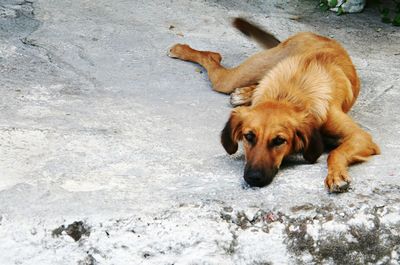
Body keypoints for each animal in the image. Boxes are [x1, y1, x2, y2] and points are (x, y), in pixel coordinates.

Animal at [167, 18, 380, 192]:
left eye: (279, 141)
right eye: (249, 137)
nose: (253, 179)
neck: (288, 96)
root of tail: (313, 34)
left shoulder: (361, 137)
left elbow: (335, 153)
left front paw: (336, 175)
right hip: (239, 76)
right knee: (213, 59)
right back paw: (182, 50)